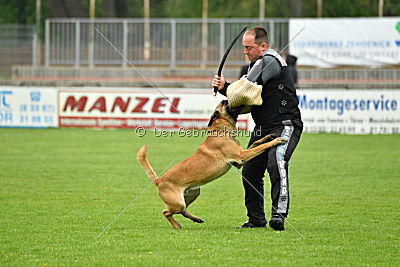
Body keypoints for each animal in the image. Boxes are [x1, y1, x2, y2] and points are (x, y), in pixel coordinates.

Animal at [136, 99, 286, 229]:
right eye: (224, 103)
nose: (226, 98)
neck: (221, 130)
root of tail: (159, 180)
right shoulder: (241, 156)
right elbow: (261, 147)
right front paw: (276, 141)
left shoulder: (240, 157)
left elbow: (257, 143)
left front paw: (269, 136)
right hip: (178, 202)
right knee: (167, 212)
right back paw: (177, 226)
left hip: (193, 193)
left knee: (181, 211)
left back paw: (195, 219)